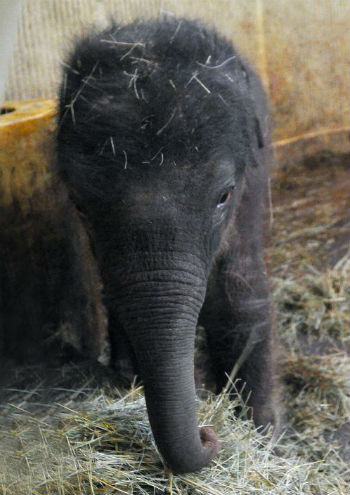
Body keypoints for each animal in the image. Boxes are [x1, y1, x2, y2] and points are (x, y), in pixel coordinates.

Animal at [56, 19, 276, 474]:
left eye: (224, 196)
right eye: (80, 204)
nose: (208, 434)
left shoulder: (250, 194)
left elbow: (239, 299)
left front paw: (265, 436)